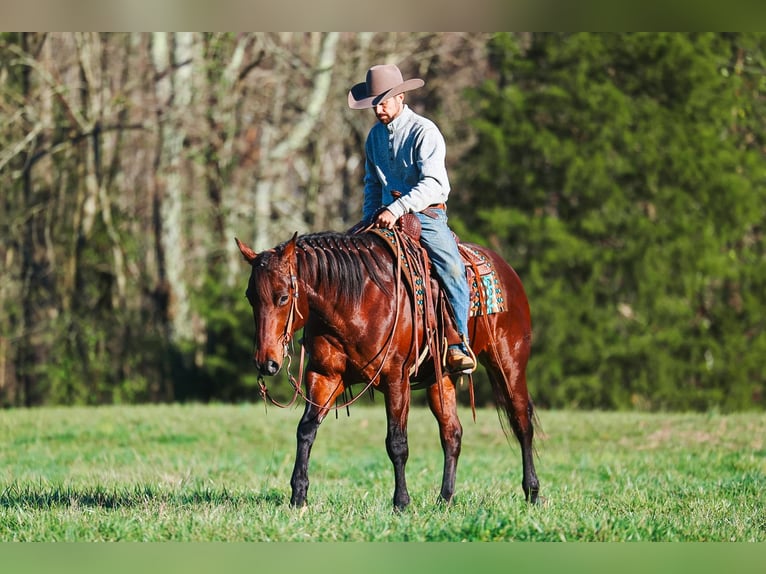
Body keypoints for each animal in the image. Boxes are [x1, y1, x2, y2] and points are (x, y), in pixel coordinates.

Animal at [235, 228, 540, 510]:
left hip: (509, 364)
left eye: (283, 297)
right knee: (452, 433)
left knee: (521, 423)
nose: (266, 362)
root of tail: (506, 270)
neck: (356, 300)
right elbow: (306, 430)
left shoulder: (396, 380)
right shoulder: (325, 377)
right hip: (440, 380)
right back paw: (444, 499)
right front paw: (298, 497)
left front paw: (401, 502)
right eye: (251, 296)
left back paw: (533, 493)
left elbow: (397, 443)